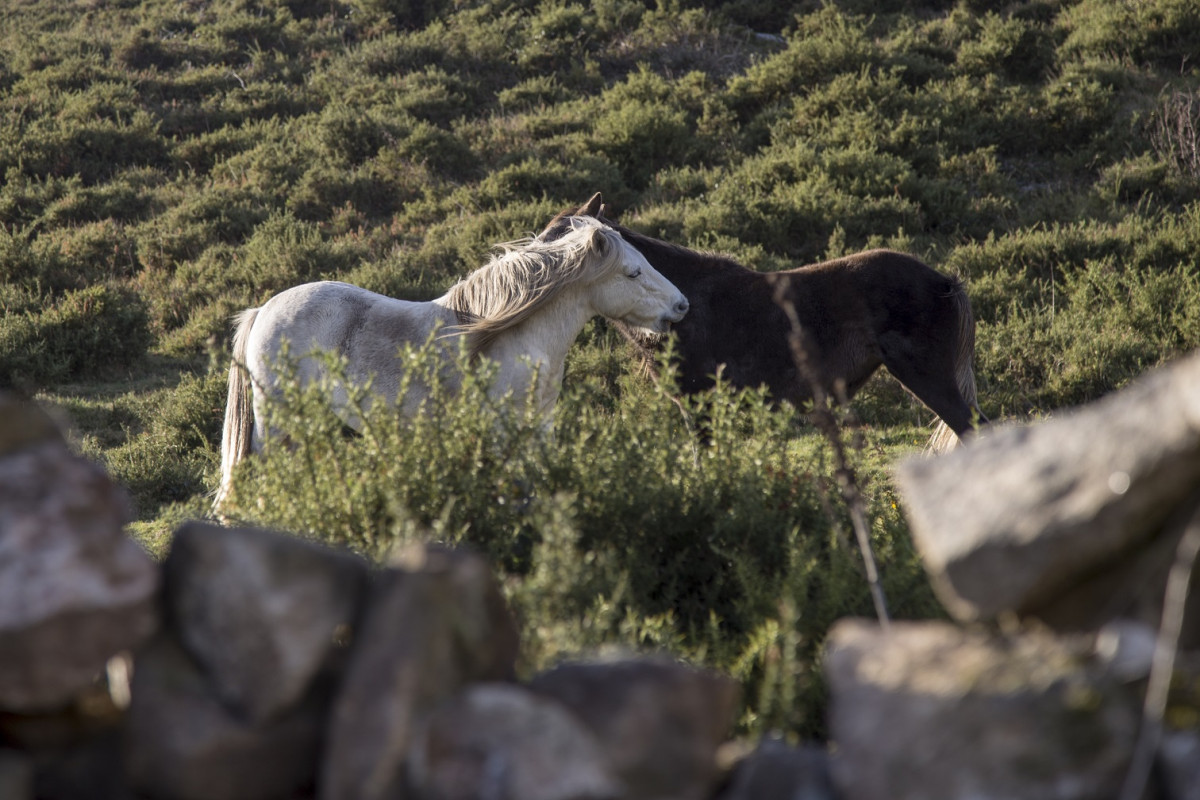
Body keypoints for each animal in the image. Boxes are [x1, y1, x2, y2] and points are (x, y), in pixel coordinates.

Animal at [213, 214, 686, 506]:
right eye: (632, 272)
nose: (681, 305)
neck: (509, 338)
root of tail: (262, 312)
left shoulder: (539, 430)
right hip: (280, 425)